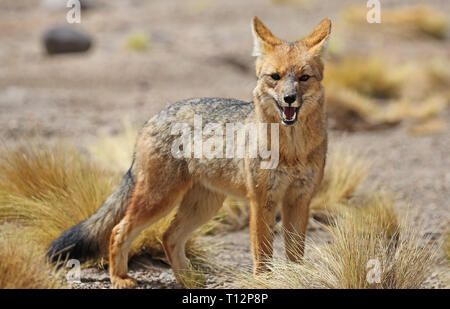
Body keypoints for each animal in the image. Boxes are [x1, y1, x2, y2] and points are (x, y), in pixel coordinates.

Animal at [48, 16, 330, 286]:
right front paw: (265, 282)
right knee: (119, 230)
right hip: (160, 199)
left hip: (203, 205)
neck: (292, 150)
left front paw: (296, 277)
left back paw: (187, 279)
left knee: (168, 236)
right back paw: (120, 279)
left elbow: (295, 252)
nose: (289, 98)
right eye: (275, 77)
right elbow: (262, 252)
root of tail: (153, 117)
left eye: (304, 78)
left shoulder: (300, 198)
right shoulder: (262, 200)